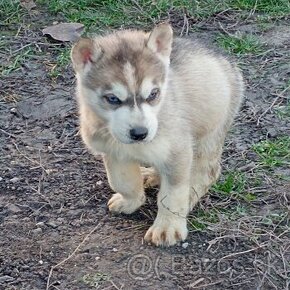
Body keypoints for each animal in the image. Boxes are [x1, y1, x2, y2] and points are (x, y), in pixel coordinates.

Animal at [71, 23, 244, 247]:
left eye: (153, 94)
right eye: (113, 98)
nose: (140, 133)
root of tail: (226, 59)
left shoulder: (178, 150)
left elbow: (172, 194)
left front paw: (168, 226)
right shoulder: (113, 153)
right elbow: (122, 182)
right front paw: (131, 201)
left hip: (209, 134)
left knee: (207, 172)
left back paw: (190, 194)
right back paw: (149, 175)